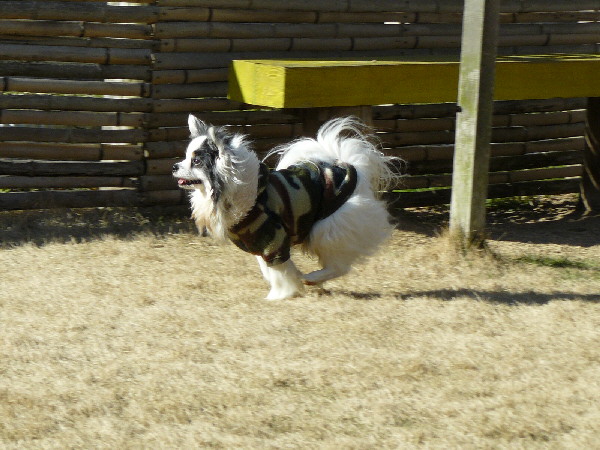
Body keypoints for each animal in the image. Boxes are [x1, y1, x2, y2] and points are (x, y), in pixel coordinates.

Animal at [173, 115, 400, 300]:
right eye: (186, 157)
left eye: (196, 161)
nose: (174, 166)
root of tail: (351, 170)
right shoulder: (260, 243)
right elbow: (271, 269)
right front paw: (289, 285)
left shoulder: (272, 239)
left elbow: (280, 271)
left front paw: (281, 294)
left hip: (327, 228)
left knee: (339, 265)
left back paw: (312, 278)